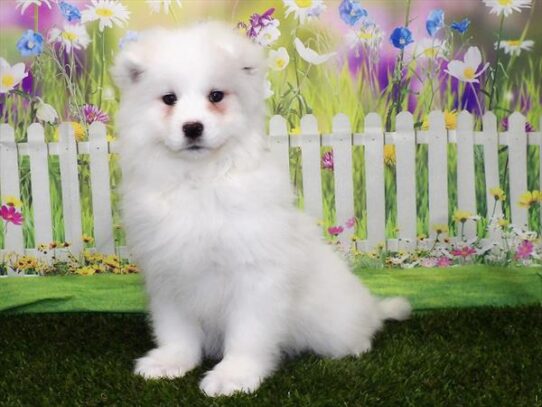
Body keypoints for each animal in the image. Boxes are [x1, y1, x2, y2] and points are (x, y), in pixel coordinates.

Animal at [115, 23, 412, 398]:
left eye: (216, 96)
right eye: (169, 99)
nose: (192, 127)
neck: (201, 180)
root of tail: (370, 306)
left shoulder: (255, 277)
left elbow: (247, 335)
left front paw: (234, 376)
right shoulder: (170, 277)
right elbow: (177, 331)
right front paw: (170, 362)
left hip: (334, 323)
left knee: (360, 331)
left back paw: (358, 343)